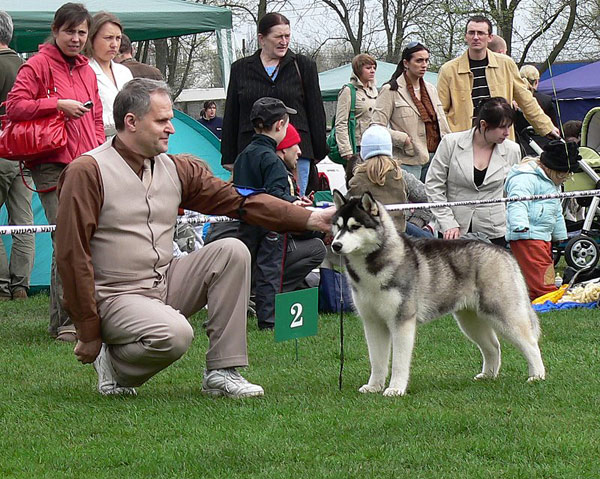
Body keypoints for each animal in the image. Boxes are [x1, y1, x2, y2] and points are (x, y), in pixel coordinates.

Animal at [331, 190, 545, 397]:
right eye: (337, 226)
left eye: (355, 226)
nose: (335, 245)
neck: (373, 266)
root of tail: (502, 252)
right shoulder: (373, 322)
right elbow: (377, 361)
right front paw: (374, 387)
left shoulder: (402, 321)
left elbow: (399, 362)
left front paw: (395, 389)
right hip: (470, 320)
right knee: (493, 346)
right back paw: (488, 375)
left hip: (502, 312)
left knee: (531, 343)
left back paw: (537, 376)